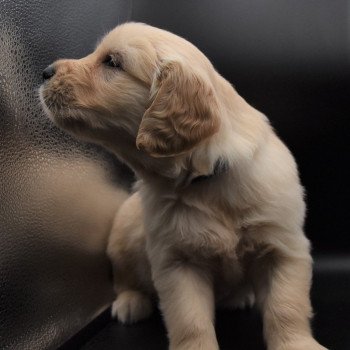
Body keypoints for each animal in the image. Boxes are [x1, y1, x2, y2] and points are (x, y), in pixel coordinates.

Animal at [39, 22, 326, 350]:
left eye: (112, 62)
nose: (45, 72)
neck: (204, 180)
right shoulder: (178, 261)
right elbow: (189, 320)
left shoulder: (283, 247)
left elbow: (286, 306)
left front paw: (297, 343)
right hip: (124, 232)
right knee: (124, 278)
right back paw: (130, 302)